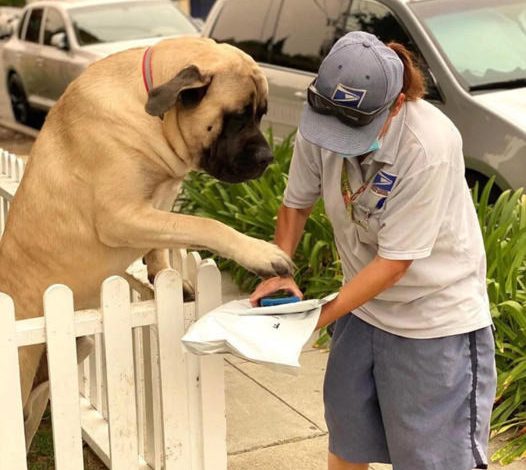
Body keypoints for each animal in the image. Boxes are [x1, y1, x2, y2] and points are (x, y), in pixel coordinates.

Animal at [0, 36, 292, 448]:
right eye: (237, 116)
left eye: (262, 114)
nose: (268, 158)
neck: (155, 115)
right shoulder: (120, 214)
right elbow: (202, 224)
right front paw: (261, 253)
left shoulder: (158, 203)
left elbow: (168, 238)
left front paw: (166, 276)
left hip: (48, 384)